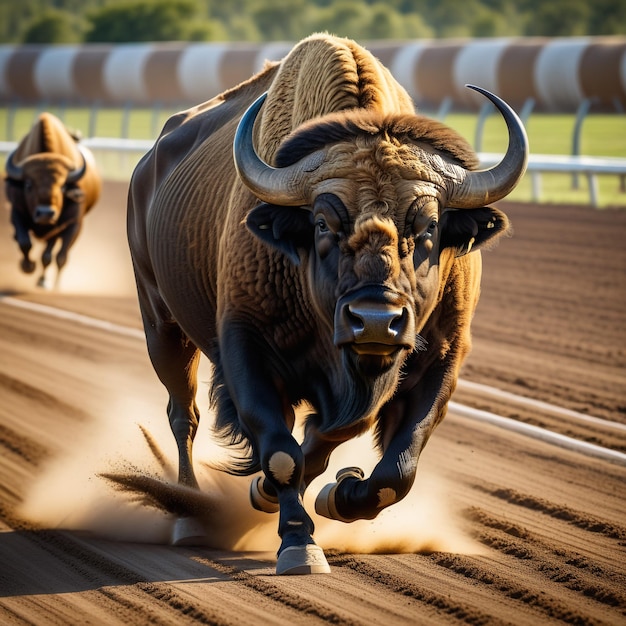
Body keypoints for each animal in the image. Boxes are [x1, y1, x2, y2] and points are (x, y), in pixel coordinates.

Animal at [4, 112, 101, 288]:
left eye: (63, 187)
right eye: (28, 184)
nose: (45, 214)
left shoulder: (68, 225)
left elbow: (54, 256)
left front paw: (48, 283)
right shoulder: (16, 212)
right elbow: (24, 242)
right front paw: (27, 267)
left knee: (55, 257)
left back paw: (50, 283)